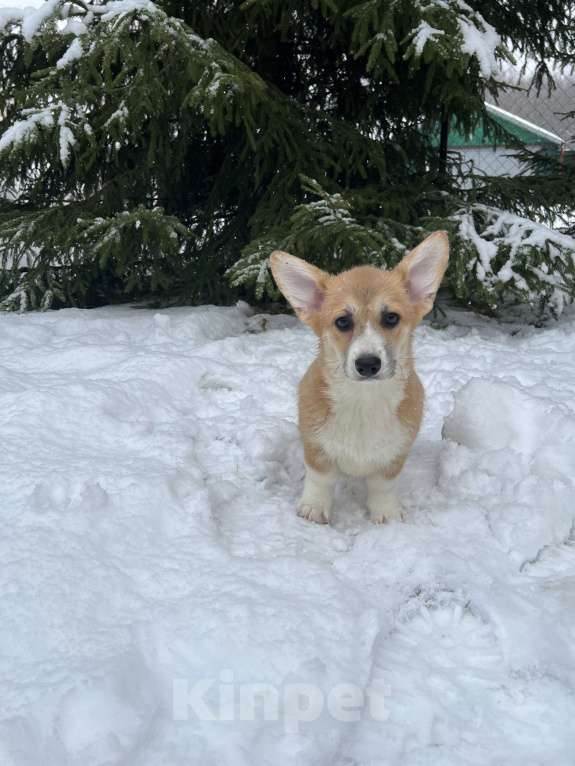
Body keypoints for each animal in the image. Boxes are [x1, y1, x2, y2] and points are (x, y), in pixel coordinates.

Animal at [270, 231, 450, 524]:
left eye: (391, 318)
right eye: (342, 322)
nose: (367, 364)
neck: (363, 401)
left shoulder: (394, 456)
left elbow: (383, 485)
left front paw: (386, 514)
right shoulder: (316, 448)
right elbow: (320, 479)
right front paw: (313, 509)